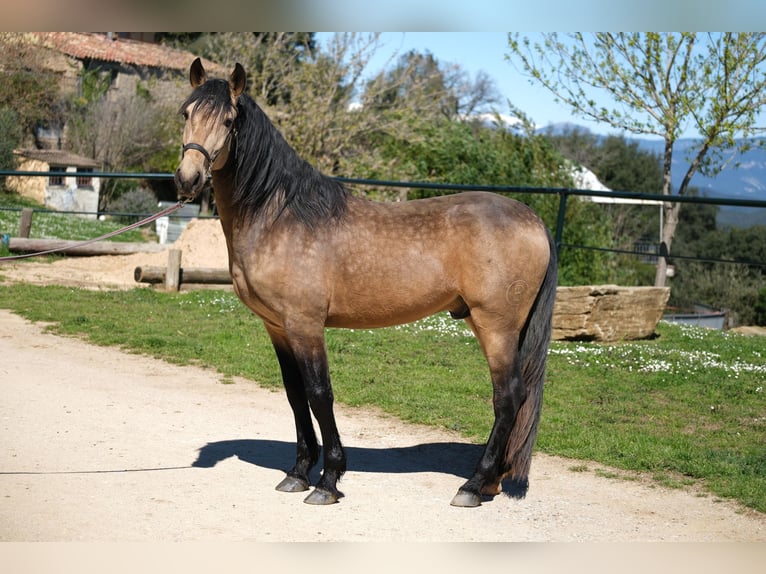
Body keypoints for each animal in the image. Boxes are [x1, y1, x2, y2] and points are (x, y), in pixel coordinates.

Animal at [174, 58, 558, 507]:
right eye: (186, 113)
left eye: (229, 120)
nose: (187, 178)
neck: (281, 216)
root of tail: (533, 219)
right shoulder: (278, 327)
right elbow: (294, 394)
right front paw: (298, 473)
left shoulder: (305, 325)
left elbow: (320, 394)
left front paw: (328, 481)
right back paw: (491, 482)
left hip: (495, 326)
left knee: (508, 397)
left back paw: (472, 485)